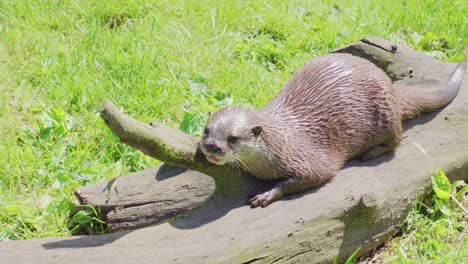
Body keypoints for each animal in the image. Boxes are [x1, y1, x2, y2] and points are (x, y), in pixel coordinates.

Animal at [199, 52, 466, 207]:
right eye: (206, 130)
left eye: (233, 138)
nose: (211, 147)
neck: (281, 143)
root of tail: (390, 87)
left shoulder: (310, 160)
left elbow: (310, 177)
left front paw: (266, 194)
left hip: (386, 114)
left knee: (396, 140)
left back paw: (370, 153)